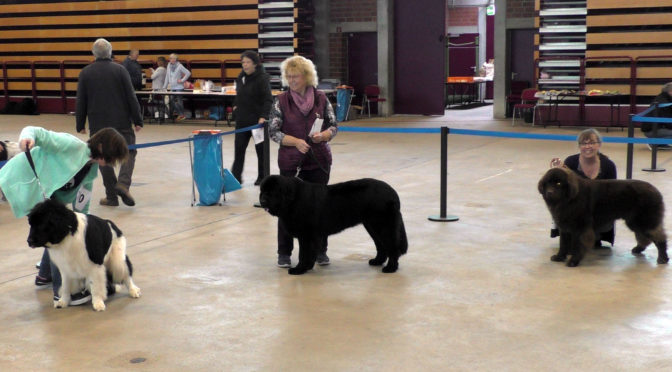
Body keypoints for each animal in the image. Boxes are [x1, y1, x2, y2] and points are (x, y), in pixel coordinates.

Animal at [258, 176, 406, 274]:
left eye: (272, 192)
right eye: (262, 191)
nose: (262, 201)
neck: (293, 199)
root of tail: (393, 193)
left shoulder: (306, 235)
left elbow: (303, 253)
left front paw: (299, 269)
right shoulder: (309, 236)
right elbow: (308, 253)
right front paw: (307, 267)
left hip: (383, 225)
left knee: (393, 247)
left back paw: (390, 268)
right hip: (371, 226)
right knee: (381, 245)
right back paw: (377, 261)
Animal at [536, 167, 668, 266]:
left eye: (559, 183)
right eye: (547, 183)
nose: (549, 192)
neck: (569, 199)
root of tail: (656, 191)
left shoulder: (580, 228)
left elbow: (577, 245)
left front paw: (573, 261)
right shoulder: (564, 226)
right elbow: (563, 243)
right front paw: (559, 257)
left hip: (645, 220)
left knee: (659, 237)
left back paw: (663, 258)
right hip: (634, 221)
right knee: (644, 236)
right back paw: (638, 249)